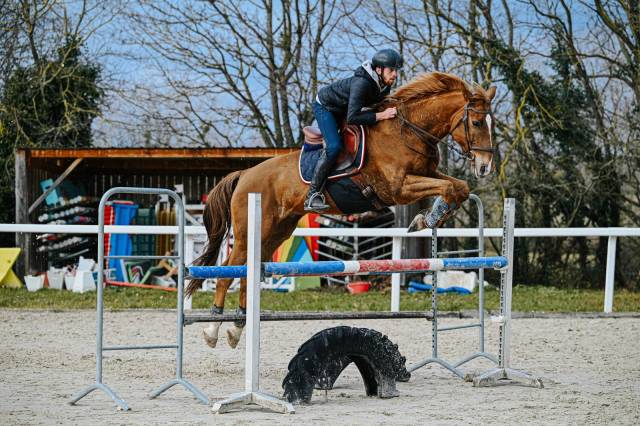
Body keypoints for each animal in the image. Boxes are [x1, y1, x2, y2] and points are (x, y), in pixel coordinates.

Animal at [186, 72, 497, 348]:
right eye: (477, 122)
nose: (485, 167)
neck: (408, 132)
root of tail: (244, 175)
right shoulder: (398, 188)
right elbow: (449, 188)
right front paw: (425, 219)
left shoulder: (426, 174)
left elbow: (457, 187)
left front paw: (427, 218)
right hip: (250, 232)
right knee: (226, 271)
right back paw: (213, 330)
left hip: (275, 232)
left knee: (246, 272)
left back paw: (236, 328)